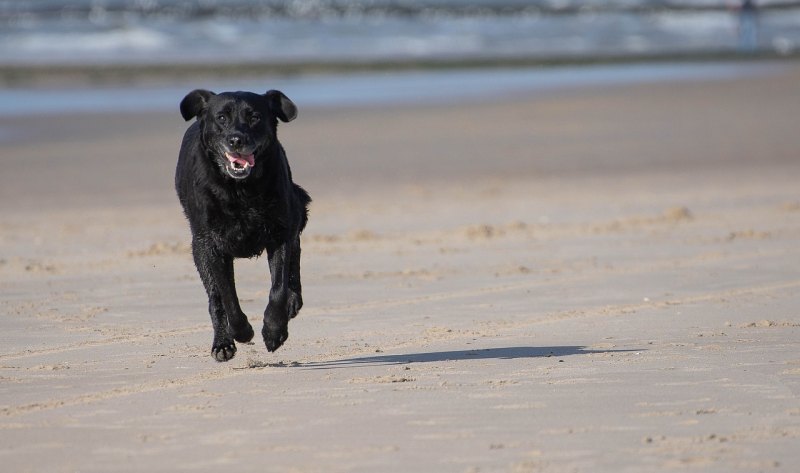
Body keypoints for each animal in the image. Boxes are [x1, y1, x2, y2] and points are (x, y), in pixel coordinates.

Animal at [175, 88, 310, 362]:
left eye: (255, 117)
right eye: (221, 118)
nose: (236, 139)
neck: (240, 191)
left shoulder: (279, 233)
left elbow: (278, 289)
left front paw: (274, 330)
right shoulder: (211, 245)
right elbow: (227, 296)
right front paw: (242, 331)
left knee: (295, 255)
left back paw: (292, 302)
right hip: (198, 250)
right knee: (214, 298)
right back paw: (222, 343)